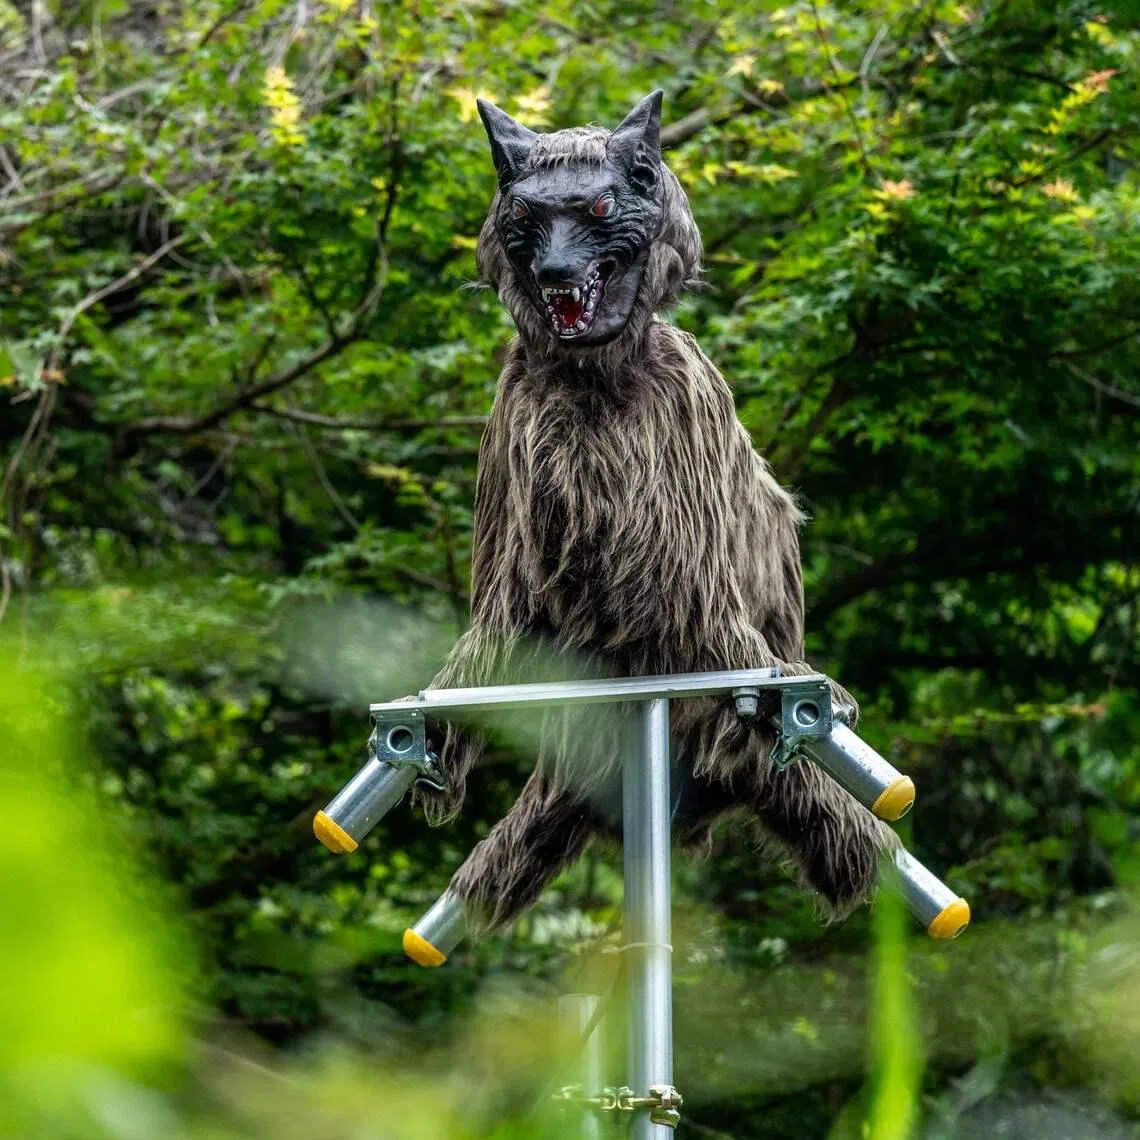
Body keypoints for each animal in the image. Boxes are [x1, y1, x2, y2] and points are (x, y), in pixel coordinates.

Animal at [416, 91, 893, 934]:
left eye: (603, 205)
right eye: (526, 217)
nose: (554, 272)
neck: (593, 380)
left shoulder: (690, 450)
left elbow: (728, 626)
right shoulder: (507, 461)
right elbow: (493, 622)